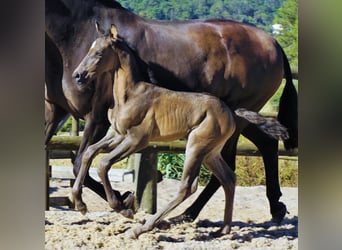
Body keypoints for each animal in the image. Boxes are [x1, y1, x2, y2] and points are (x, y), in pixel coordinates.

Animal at [44, 0, 296, 223]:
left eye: (98, 54)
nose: (79, 75)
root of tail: (274, 42)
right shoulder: (56, 112)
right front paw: (120, 200)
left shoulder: (96, 118)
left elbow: (82, 163)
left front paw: (123, 202)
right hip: (240, 115)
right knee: (265, 144)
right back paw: (274, 207)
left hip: (234, 119)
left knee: (228, 167)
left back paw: (187, 214)